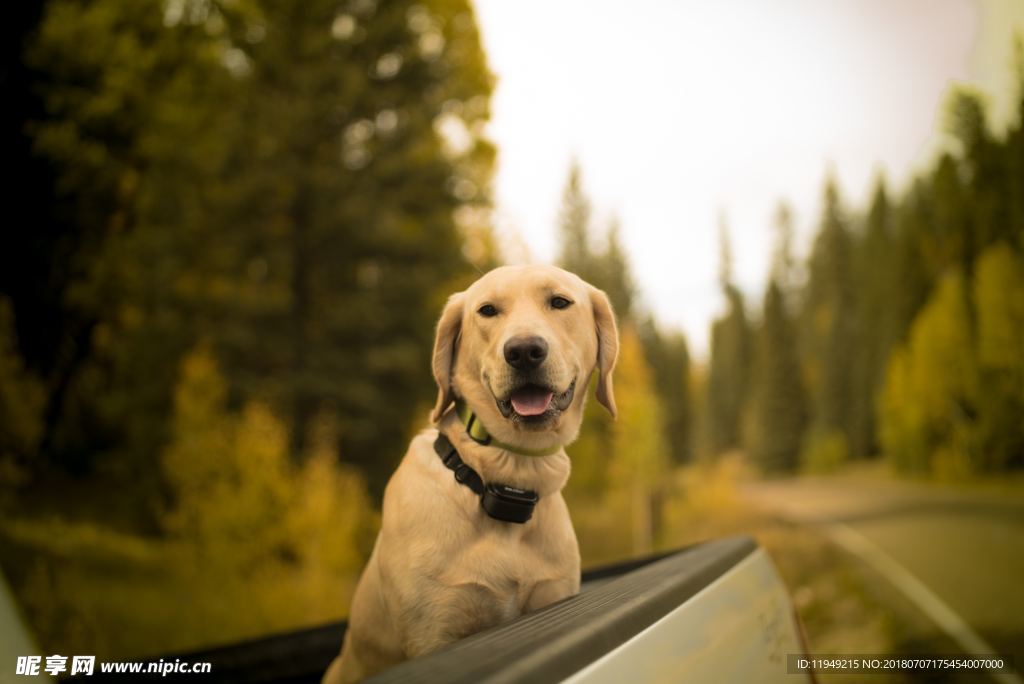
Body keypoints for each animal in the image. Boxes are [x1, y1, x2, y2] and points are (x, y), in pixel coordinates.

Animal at [323, 264, 618, 679]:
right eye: (487, 310)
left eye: (560, 302)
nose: (523, 351)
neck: (507, 479)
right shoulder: (435, 631)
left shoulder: (552, 595)